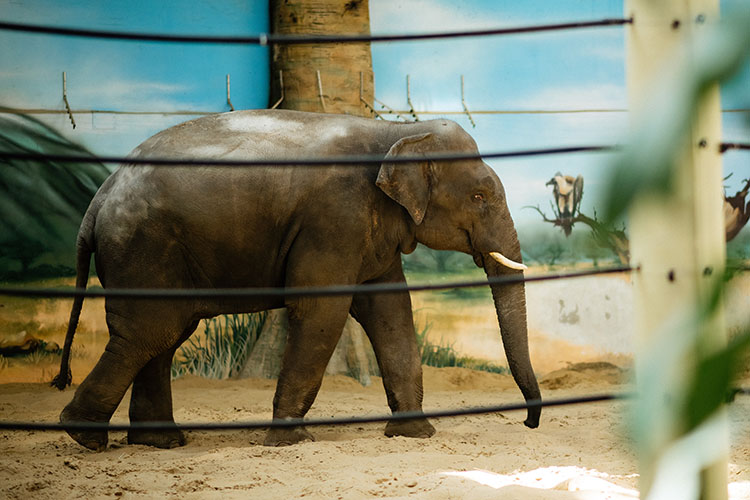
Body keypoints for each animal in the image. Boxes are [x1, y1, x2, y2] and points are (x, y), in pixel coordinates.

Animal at [51, 109, 542, 451]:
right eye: (479, 196)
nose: (528, 423)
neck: (395, 131)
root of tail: (98, 198)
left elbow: (391, 310)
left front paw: (415, 434)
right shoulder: (334, 218)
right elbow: (323, 309)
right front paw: (290, 441)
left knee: (163, 336)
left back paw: (160, 443)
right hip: (144, 247)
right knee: (148, 332)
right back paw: (84, 437)